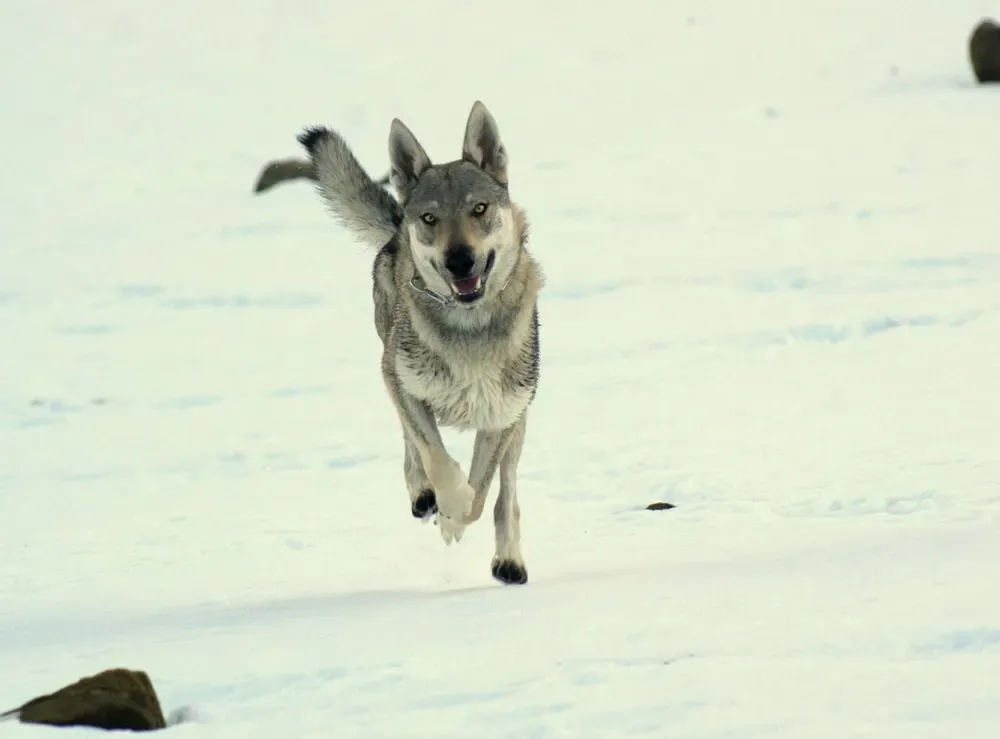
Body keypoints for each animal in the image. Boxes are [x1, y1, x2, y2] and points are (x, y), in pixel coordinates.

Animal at [265, 101, 544, 585]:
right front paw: (443, 505)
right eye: (430, 219)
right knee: (411, 446)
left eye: (479, 208)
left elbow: (480, 495)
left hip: (519, 418)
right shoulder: (401, 382)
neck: (468, 329)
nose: (459, 260)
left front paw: (457, 517)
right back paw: (424, 498)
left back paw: (509, 562)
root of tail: (395, 228)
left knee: (507, 495)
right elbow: (436, 458)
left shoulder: (501, 414)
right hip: (393, 371)